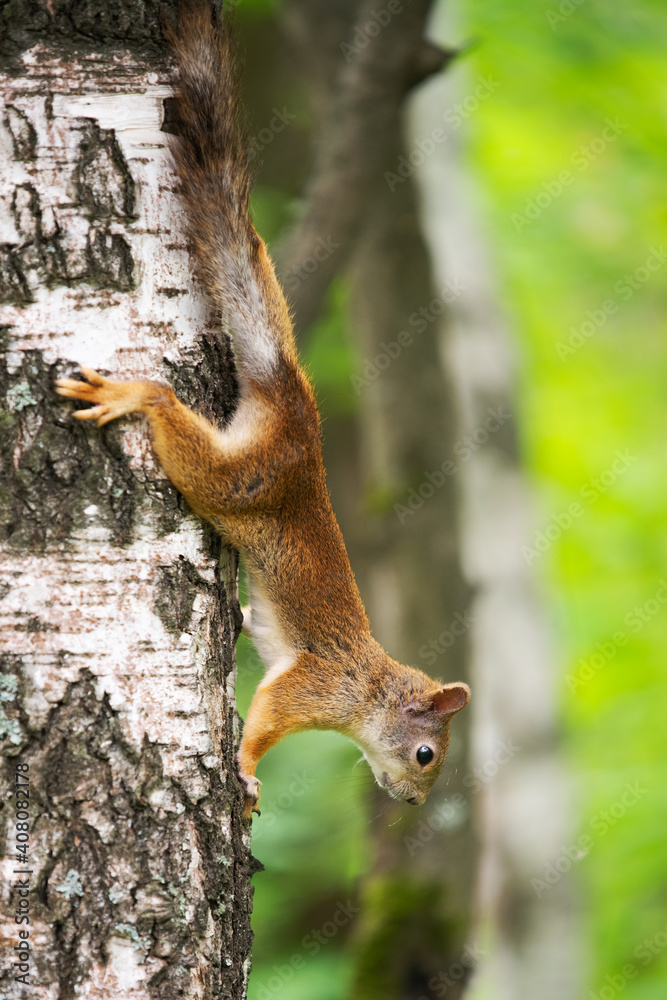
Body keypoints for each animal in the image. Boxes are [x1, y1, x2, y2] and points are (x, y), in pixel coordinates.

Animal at [55, 2, 470, 821]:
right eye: (426, 754)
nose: (411, 804)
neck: (371, 685)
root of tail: (296, 412)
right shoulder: (319, 686)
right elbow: (268, 719)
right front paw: (244, 771)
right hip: (240, 480)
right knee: (174, 419)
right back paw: (135, 395)